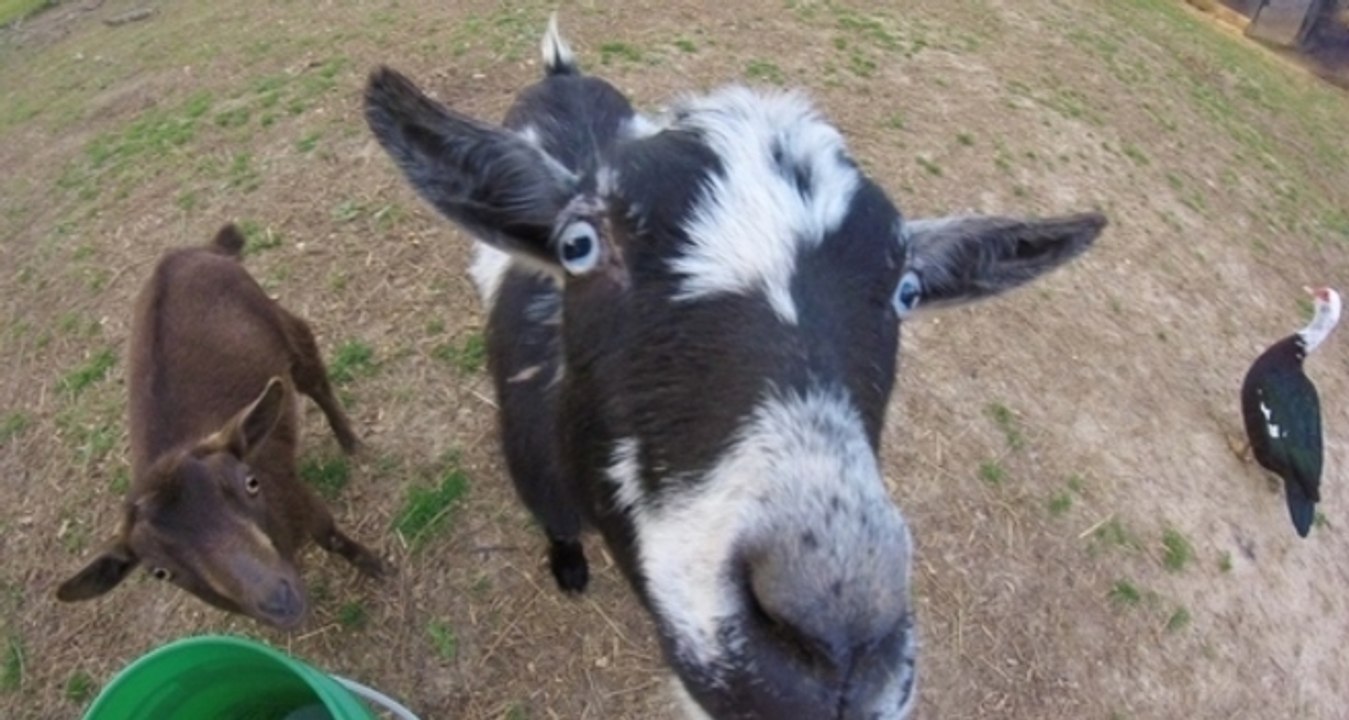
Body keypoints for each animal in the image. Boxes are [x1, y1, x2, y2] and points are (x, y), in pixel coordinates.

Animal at [56, 225, 385, 629]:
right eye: (160, 572)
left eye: (252, 483)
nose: (279, 601)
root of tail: (190, 251)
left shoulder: (292, 490)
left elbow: (330, 535)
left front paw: (377, 567)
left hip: (281, 323)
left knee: (314, 378)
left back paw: (349, 440)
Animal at [365, 18, 1104, 720]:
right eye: (578, 246)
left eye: (907, 291)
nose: (838, 647)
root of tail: (562, 76)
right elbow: (560, 535)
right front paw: (569, 572)